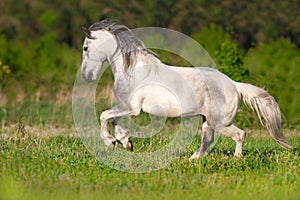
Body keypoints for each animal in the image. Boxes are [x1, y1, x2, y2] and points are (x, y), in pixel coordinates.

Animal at [79, 19, 290, 159]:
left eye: (85, 48)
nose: (85, 76)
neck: (133, 70)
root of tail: (234, 85)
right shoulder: (127, 107)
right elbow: (113, 119)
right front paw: (125, 141)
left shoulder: (131, 108)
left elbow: (104, 116)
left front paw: (111, 142)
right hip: (207, 121)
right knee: (207, 140)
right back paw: (192, 160)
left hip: (220, 122)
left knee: (239, 134)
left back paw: (236, 160)